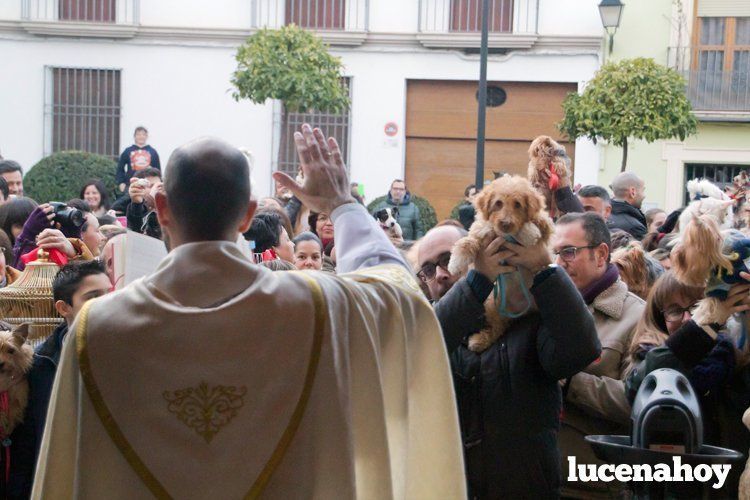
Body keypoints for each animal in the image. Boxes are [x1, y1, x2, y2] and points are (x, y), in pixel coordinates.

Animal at [450, 176, 556, 352]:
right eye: (498, 203)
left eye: (518, 204)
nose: (505, 223)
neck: (506, 236)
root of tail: (519, 310)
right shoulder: (479, 234)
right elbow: (469, 240)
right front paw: (455, 262)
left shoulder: (547, 227)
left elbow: (538, 221)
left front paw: (529, 233)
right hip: (494, 305)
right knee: (496, 328)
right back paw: (479, 341)